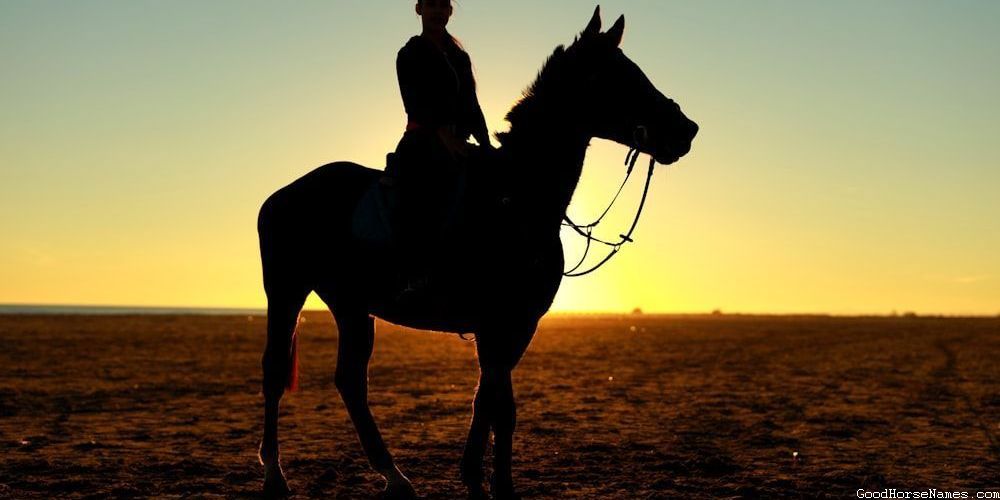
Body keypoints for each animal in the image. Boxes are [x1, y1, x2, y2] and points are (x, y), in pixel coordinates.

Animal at [256, 7, 698, 499]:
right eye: (621, 76)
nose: (686, 130)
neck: (517, 197)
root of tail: (282, 195)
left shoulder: (518, 324)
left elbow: (488, 399)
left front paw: (474, 477)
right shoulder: (497, 321)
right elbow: (501, 406)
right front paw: (499, 486)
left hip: (351, 306)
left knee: (350, 381)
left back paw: (395, 477)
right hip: (286, 290)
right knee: (275, 371)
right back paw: (275, 475)